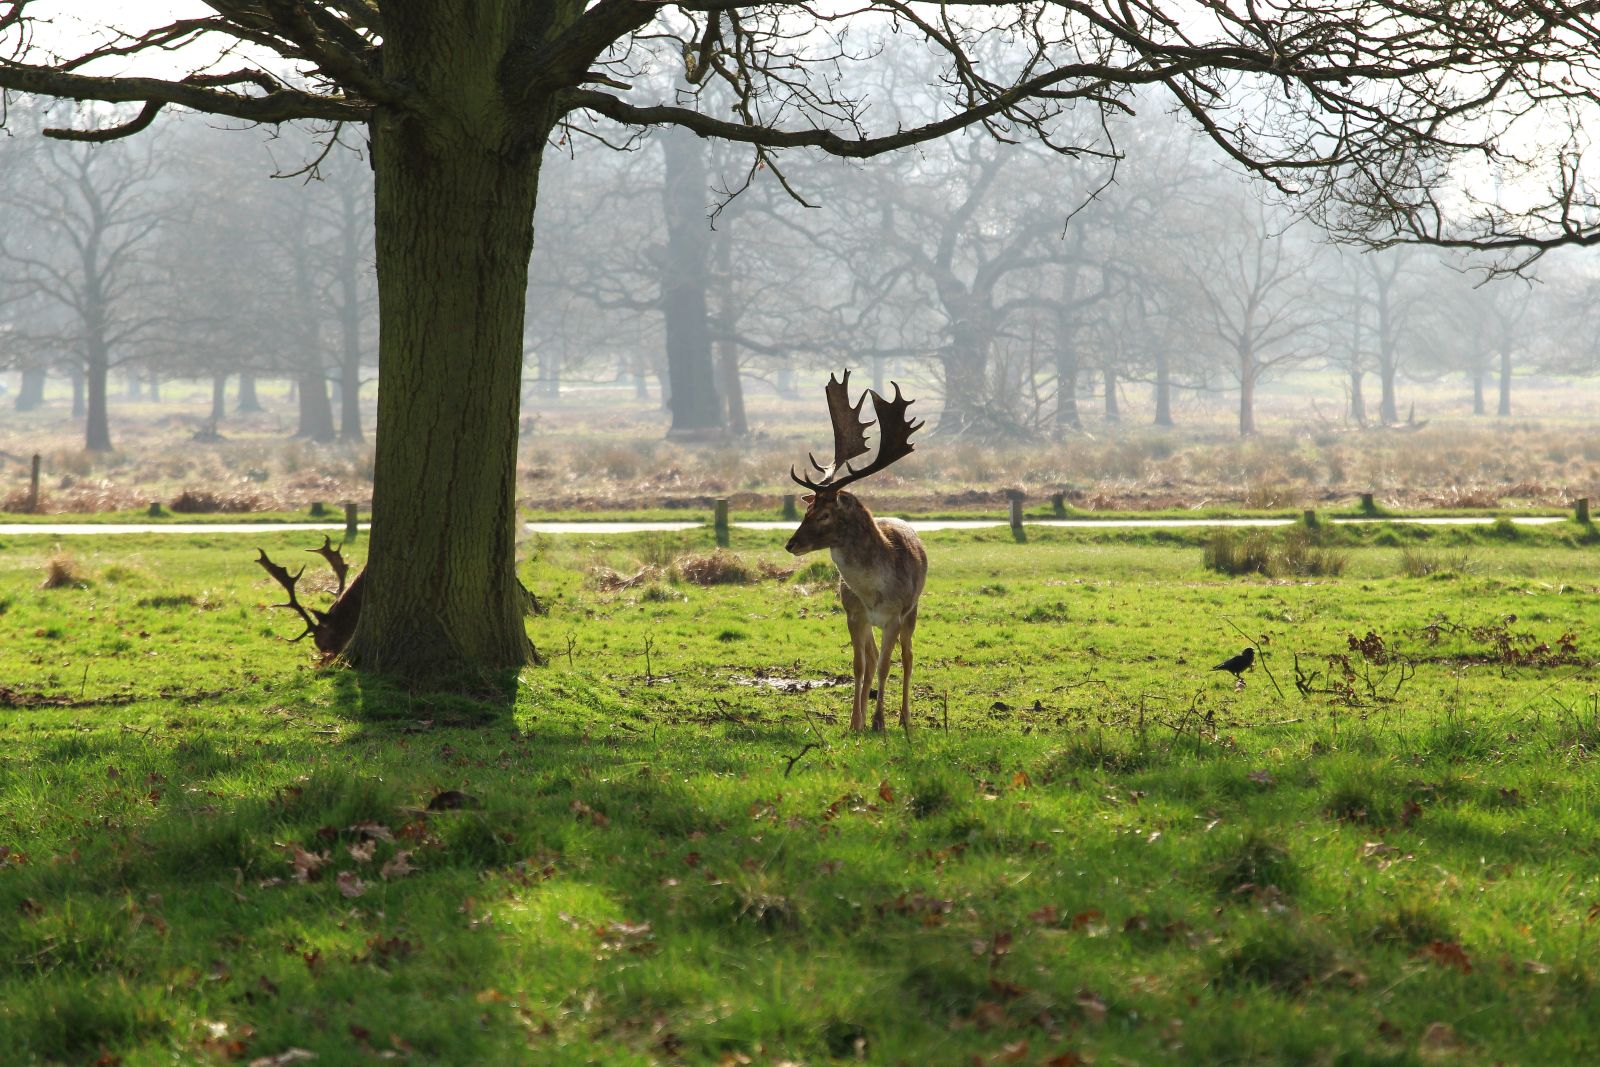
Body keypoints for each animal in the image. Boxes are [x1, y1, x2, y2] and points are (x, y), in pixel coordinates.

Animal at [784, 369, 928, 735]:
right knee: (873, 656)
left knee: (908, 658)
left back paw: (904, 718)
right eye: (806, 509)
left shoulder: (894, 615)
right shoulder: (853, 613)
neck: (873, 591)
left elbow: (886, 665)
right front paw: (855, 723)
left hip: (913, 610)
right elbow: (860, 666)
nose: (791, 544)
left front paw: (879, 722)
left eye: (824, 514)